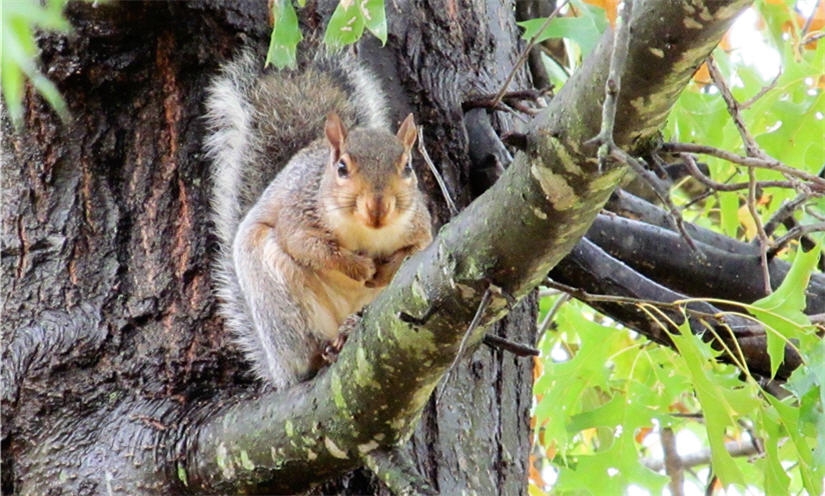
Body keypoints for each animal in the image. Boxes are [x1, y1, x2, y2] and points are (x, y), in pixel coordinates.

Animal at [202, 48, 432, 390]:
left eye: (408, 167)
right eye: (342, 168)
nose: (378, 207)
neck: (367, 232)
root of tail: (278, 369)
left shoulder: (419, 224)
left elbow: (418, 248)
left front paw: (387, 268)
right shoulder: (299, 212)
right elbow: (310, 247)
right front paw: (359, 266)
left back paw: (349, 328)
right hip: (279, 300)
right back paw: (324, 350)